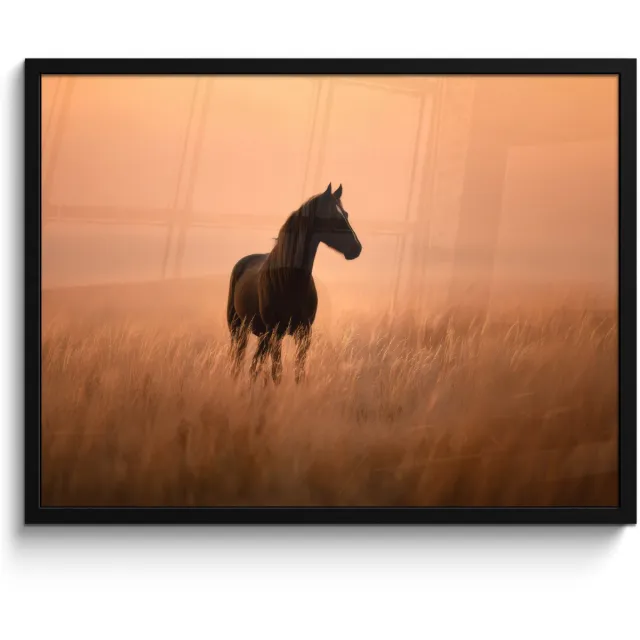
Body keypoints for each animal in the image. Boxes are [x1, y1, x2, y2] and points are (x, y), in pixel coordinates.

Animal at [226, 183, 362, 384]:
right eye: (332, 217)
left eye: (346, 214)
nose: (356, 248)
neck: (290, 281)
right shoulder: (276, 333)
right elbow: (277, 372)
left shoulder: (304, 333)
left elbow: (299, 371)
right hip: (239, 329)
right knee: (240, 360)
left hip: (262, 335)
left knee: (254, 364)